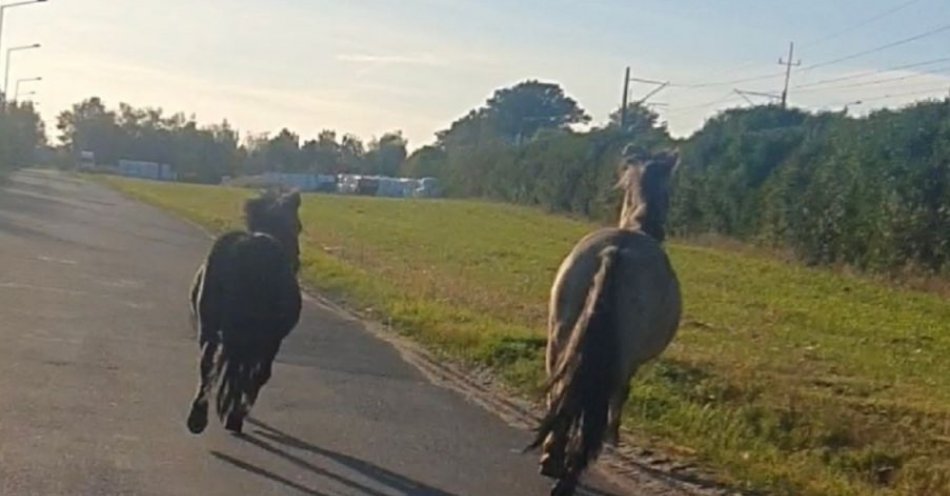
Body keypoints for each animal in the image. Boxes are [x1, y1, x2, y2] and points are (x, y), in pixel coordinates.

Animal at [186, 189, 304, 434]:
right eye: (298, 225)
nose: (298, 260)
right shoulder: (269, 341)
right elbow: (254, 375)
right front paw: (233, 411)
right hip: (259, 338)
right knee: (246, 372)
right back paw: (232, 414)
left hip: (211, 327)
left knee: (208, 364)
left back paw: (198, 418)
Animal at [528, 147, 684, 496]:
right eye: (669, 191)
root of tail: (616, 251)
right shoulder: (631, 362)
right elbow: (622, 395)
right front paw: (615, 437)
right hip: (617, 356)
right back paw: (568, 476)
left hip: (560, 337)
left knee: (561, 392)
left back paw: (551, 458)